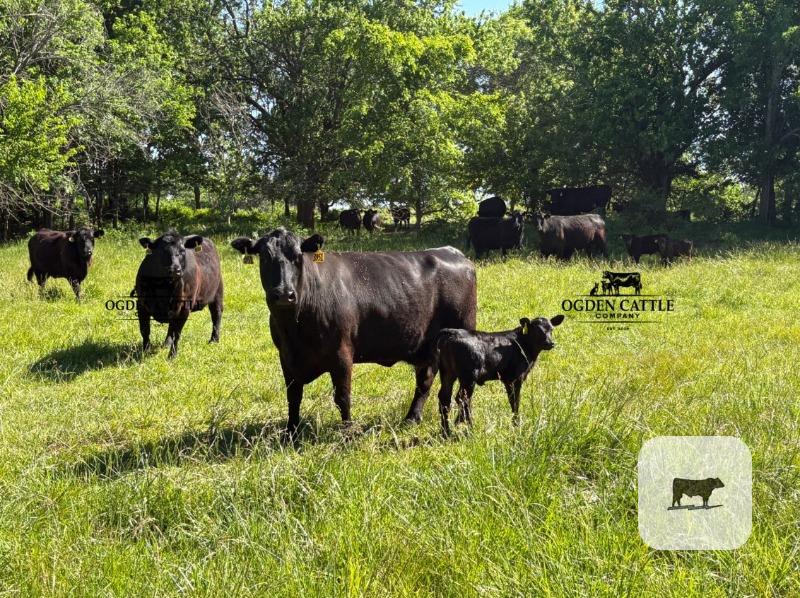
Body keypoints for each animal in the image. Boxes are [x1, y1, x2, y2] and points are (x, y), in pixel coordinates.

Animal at [230, 228, 477, 436]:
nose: (283, 294)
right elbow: (293, 396)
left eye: (298, 257)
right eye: (265, 257)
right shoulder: (286, 356)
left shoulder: (341, 353)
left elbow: (342, 397)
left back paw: (460, 422)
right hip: (427, 347)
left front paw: (347, 432)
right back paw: (411, 418)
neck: (294, 328)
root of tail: (452, 252)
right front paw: (291, 433)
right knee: (425, 380)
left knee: (461, 387)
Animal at [435, 315, 564, 435]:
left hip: (447, 373)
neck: (523, 345)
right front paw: (516, 425)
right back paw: (470, 428)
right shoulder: (514, 378)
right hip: (468, 377)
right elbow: (515, 401)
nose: (550, 343)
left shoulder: (507, 379)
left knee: (445, 398)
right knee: (462, 399)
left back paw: (446, 432)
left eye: (551, 329)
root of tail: (452, 332)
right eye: (536, 330)